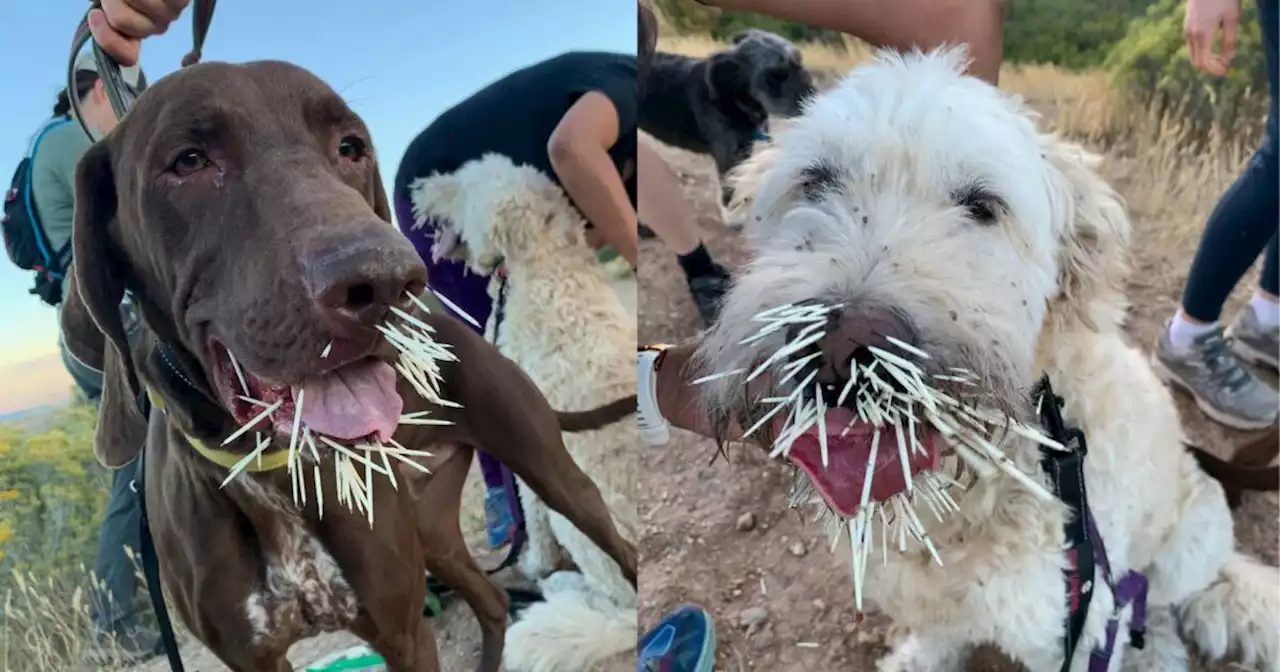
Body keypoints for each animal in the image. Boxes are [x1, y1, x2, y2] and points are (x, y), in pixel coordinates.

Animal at [409, 154, 640, 665]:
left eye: (461, 187)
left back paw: (558, 585)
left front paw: (535, 563)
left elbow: (530, 511)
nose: (418, 188)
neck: (545, 265)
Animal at [696, 48, 1280, 670]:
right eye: (815, 181)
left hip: (1185, 545)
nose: (842, 345)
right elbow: (939, 634)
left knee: (1154, 605)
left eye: (983, 205)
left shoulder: (1073, 619)